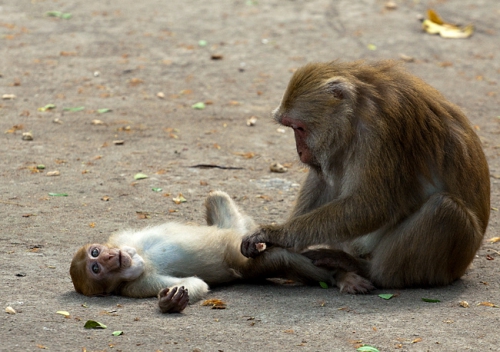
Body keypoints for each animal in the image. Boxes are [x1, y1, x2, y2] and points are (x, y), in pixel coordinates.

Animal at [240, 60, 490, 290]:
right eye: (291, 127)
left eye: (298, 128)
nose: (300, 151)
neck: (358, 108)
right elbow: (324, 182)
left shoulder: (382, 131)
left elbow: (373, 205)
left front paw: (275, 234)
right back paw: (342, 275)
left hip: (451, 263)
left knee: (445, 210)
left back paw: (364, 269)